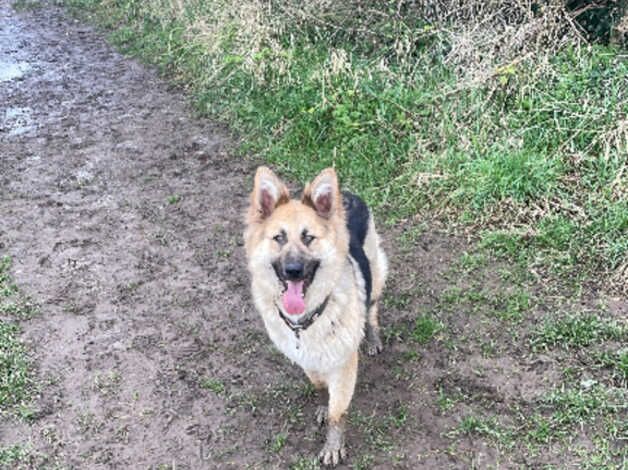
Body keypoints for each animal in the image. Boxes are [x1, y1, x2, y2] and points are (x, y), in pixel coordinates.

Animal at [244, 167, 388, 464]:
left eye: (308, 237)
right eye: (279, 238)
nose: (293, 270)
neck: (307, 320)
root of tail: (347, 195)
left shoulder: (343, 364)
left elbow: (337, 411)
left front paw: (333, 445)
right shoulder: (307, 360)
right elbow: (320, 387)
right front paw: (323, 403)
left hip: (377, 273)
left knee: (371, 310)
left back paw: (373, 338)